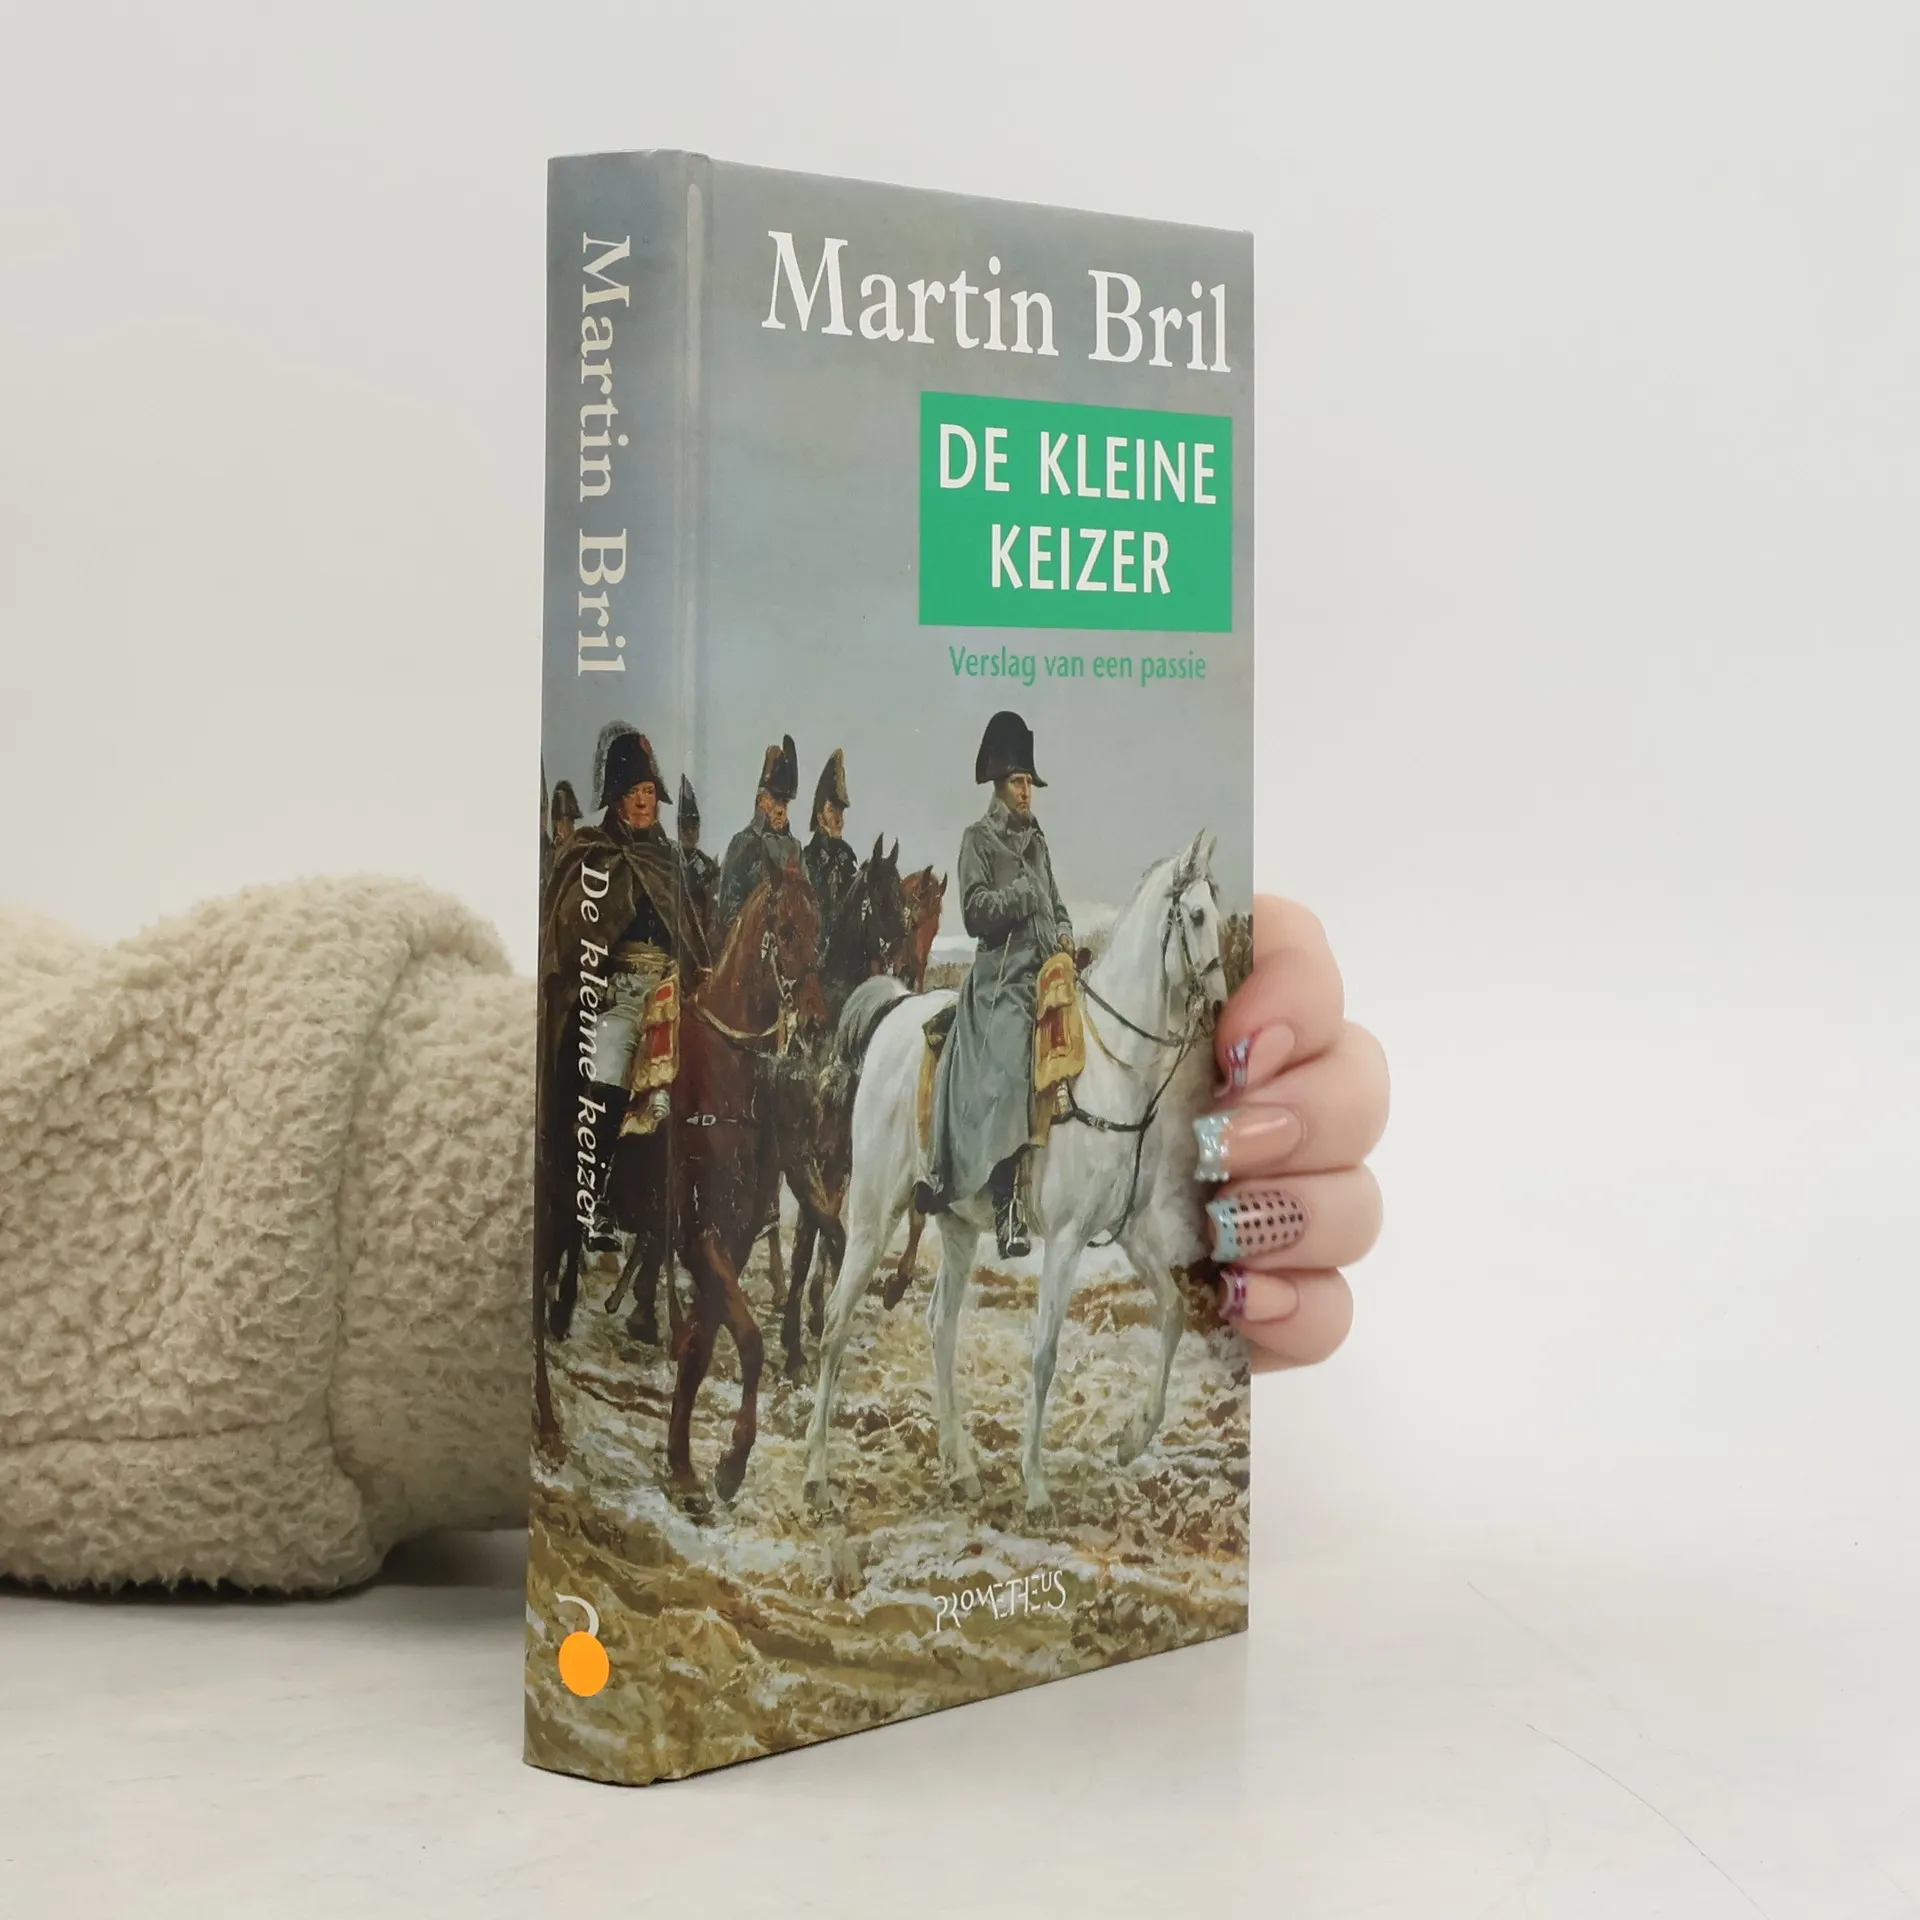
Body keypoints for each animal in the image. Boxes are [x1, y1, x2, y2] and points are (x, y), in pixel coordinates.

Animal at [803, 831, 1226, 1518]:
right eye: (1193, 916)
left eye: (1218, 911)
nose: (1218, 1006)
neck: (1115, 1071)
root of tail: (897, 1010)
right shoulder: (1067, 1239)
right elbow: (1046, 1354)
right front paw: (1035, 1485)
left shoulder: (1132, 1229)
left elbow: (1172, 1311)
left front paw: (1134, 1437)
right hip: (871, 1214)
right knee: (837, 1320)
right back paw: (816, 1473)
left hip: (954, 1224)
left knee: (940, 1326)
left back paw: (961, 1465)